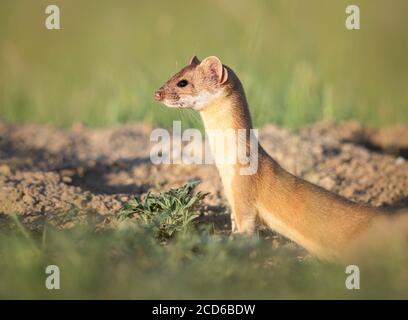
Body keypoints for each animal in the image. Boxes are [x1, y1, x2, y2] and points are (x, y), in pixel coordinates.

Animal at [154, 55, 388, 260]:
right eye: (174, 74)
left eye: (183, 82)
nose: (157, 93)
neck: (226, 168)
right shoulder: (231, 200)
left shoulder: (244, 195)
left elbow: (246, 230)